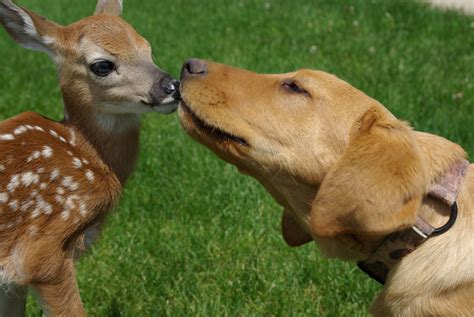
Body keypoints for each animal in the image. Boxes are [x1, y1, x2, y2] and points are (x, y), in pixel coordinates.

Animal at [0, 0, 180, 314]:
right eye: (103, 65)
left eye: (147, 48)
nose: (171, 86)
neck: (85, 154)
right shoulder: (39, 252)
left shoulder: (12, 278)